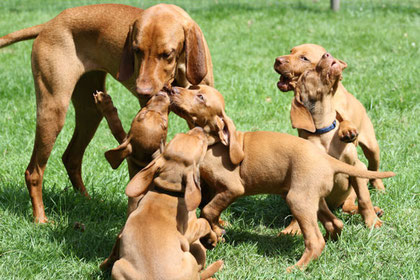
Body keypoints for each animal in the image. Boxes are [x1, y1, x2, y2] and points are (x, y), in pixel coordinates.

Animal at [0, 3, 212, 223]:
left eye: (168, 54)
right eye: (136, 51)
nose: (142, 92)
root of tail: (50, 23)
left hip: (90, 109)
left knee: (71, 157)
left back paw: (87, 200)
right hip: (53, 110)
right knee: (33, 171)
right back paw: (40, 218)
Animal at [274, 43, 386, 191]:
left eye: (304, 58)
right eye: (291, 51)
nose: (277, 60)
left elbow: (344, 121)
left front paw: (347, 130)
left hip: (372, 146)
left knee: (373, 167)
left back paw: (378, 186)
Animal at [282, 53, 384, 236]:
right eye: (308, 74)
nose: (327, 54)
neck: (323, 133)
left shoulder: (355, 167)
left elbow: (364, 199)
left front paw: (372, 222)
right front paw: (294, 228)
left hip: (371, 153)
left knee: (353, 201)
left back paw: (376, 206)